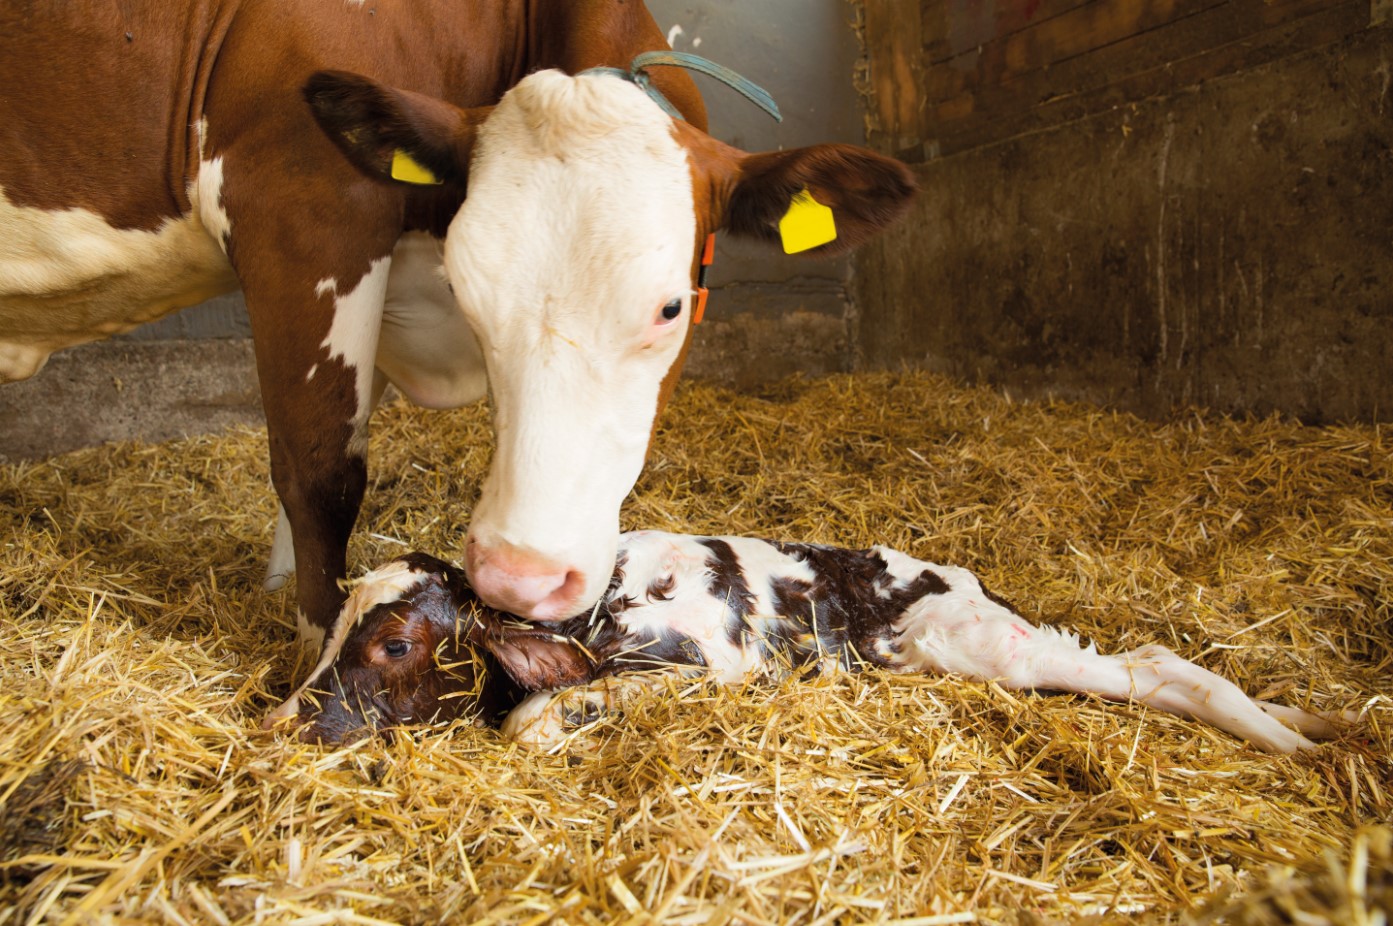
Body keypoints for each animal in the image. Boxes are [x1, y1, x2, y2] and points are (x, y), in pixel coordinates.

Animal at [0, 3, 913, 654]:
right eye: (469, 291)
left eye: (670, 307)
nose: (521, 579)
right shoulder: (302, 209)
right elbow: (320, 472)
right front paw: (316, 656)